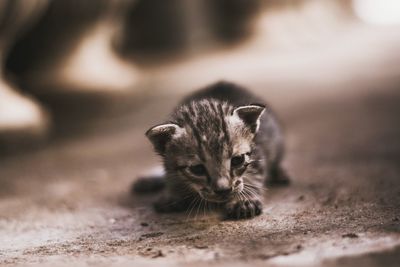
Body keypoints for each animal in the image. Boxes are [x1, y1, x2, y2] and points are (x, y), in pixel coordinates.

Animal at [138, 81, 288, 220]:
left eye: (237, 160)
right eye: (197, 169)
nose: (224, 190)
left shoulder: (258, 151)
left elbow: (254, 173)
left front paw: (244, 200)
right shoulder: (168, 162)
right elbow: (171, 176)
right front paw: (172, 193)